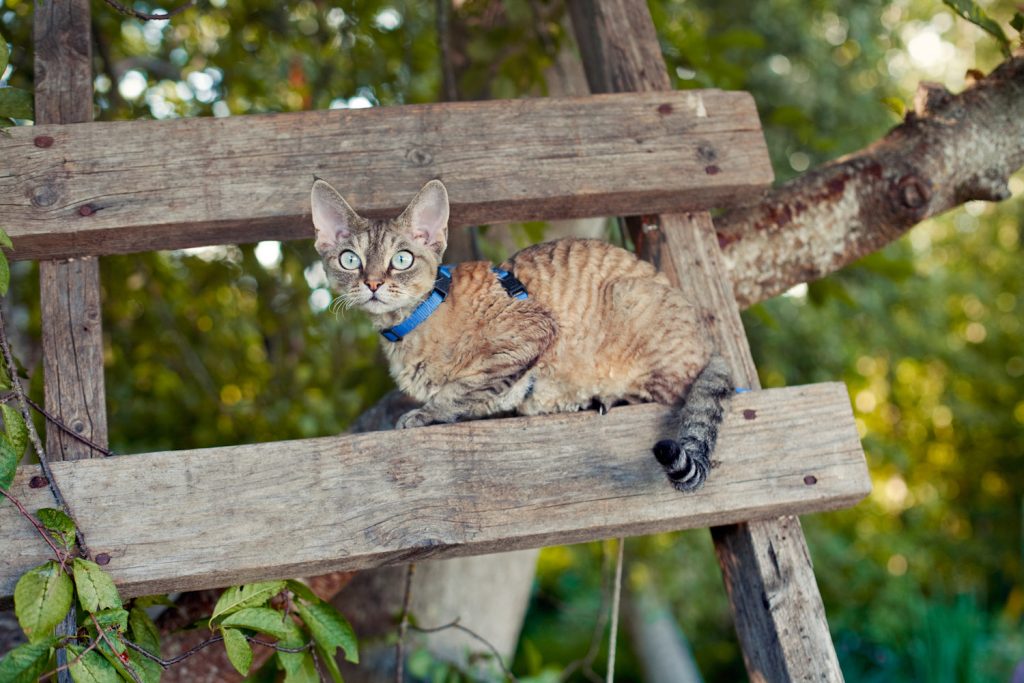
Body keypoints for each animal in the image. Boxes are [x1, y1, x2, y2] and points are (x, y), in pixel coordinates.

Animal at [307, 179, 733, 489]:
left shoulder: (534, 329)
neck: (413, 324)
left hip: (630, 301)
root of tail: (710, 344)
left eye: (401, 259)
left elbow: (465, 387)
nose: (373, 283)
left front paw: (428, 414)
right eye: (350, 259)